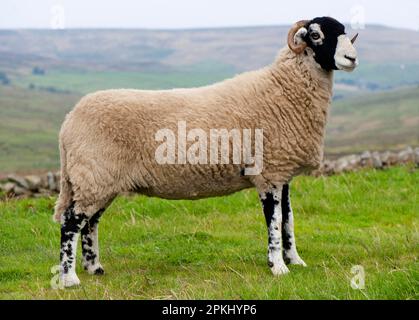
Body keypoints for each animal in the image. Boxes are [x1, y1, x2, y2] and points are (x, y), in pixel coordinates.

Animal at [54, 16, 360, 288]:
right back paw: (70, 278)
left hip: (100, 180)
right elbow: (274, 221)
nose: (352, 58)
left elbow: (288, 219)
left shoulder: (282, 172)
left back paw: (94, 267)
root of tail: (68, 122)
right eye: (316, 35)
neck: (283, 89)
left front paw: (295, 260)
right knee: (71, 222)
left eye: (345, 32)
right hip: (93, 174)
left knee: (90, 223)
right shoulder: (268, 173)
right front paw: (278, 267)